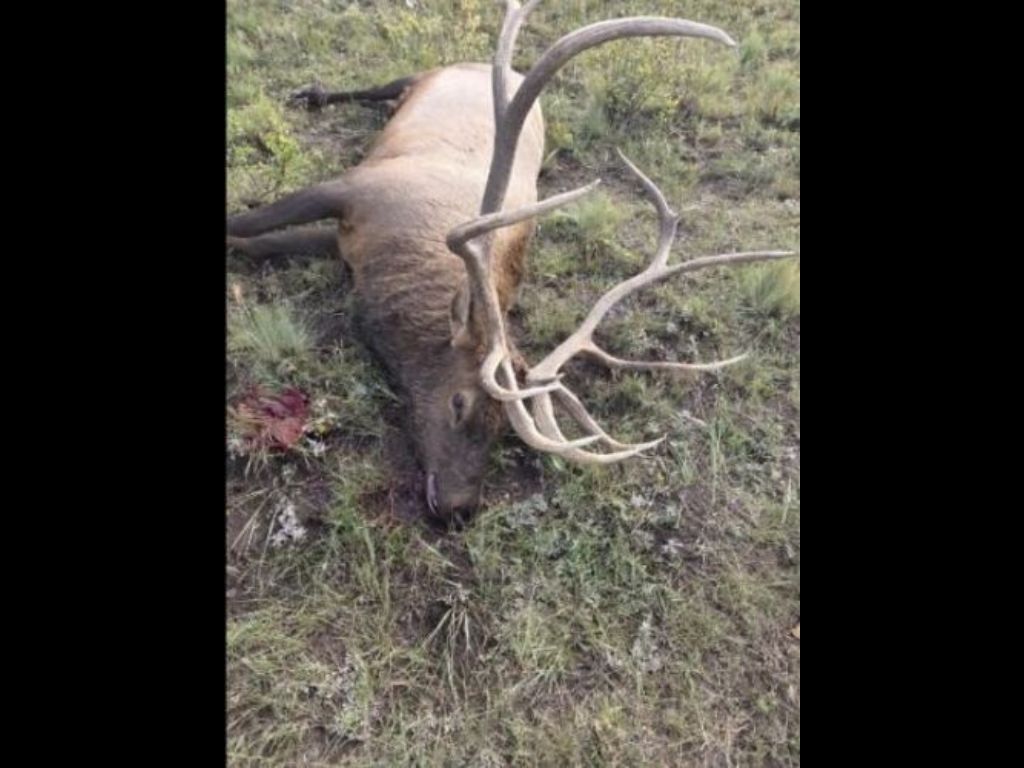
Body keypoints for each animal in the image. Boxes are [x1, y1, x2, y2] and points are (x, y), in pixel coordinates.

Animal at [226, 0, 795, 523]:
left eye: (502, 430)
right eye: (459, 402)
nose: (458, 510)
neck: (396, 260)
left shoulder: (343, 240)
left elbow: (254, 245)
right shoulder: (352, 188)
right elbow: (245, 223)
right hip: (428, 73)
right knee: (383, 84)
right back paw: (313, 92)